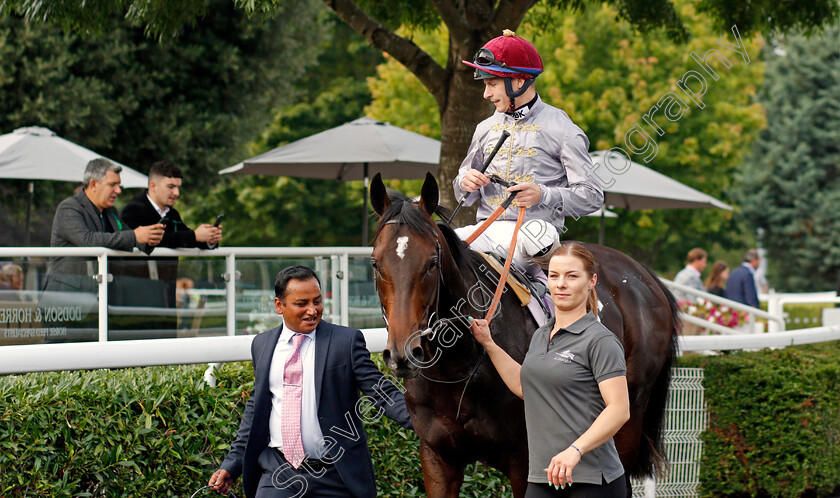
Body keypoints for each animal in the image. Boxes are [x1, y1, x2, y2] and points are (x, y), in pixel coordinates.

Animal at [370, 173, 680, 496]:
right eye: (375, 263)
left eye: (431, 262)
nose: (403, 354)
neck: (458, 368)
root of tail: (645, 276)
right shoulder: (437, 456)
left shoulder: (524, 459)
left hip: (628, 419)